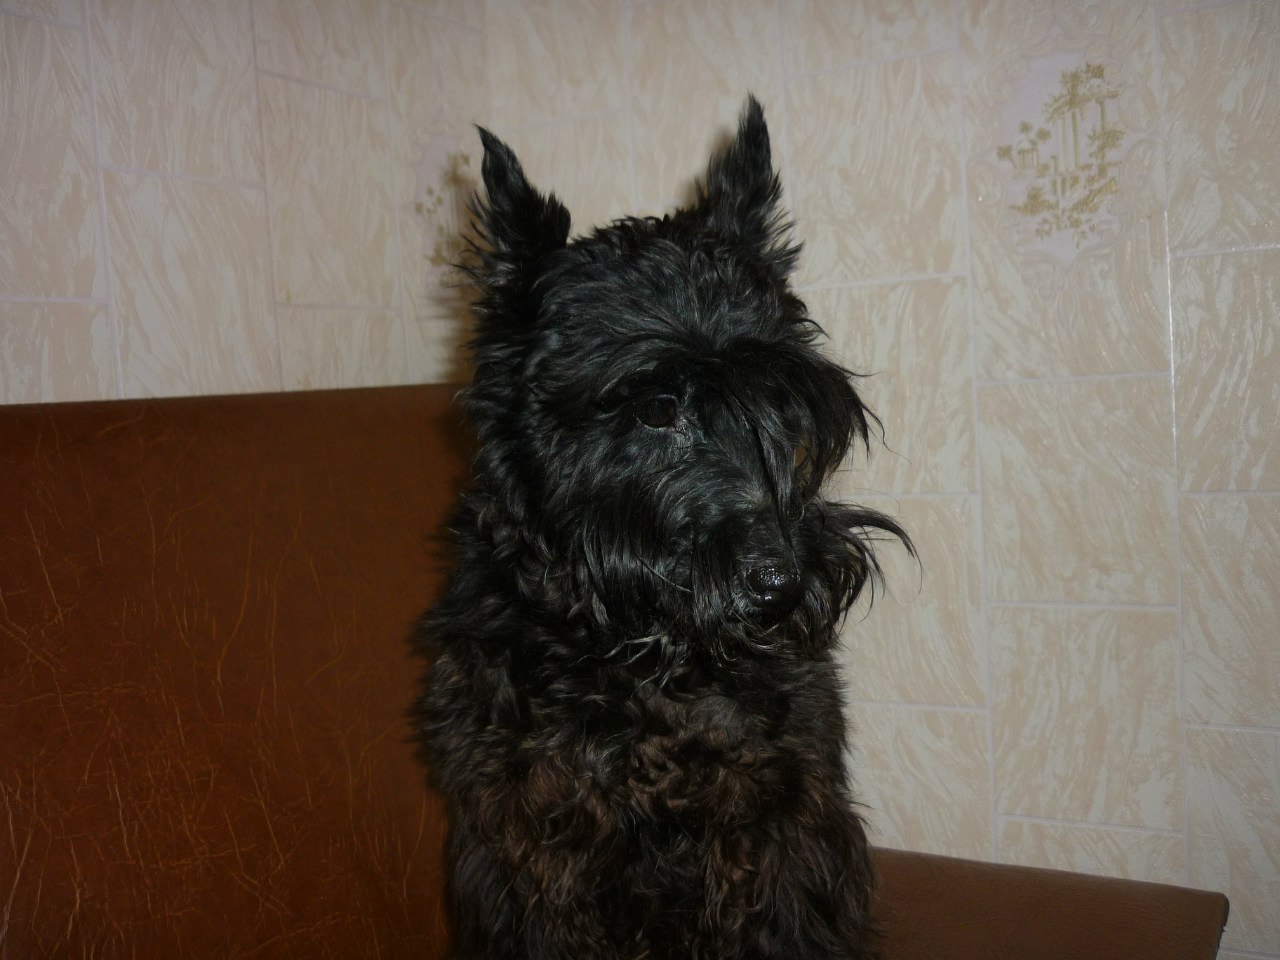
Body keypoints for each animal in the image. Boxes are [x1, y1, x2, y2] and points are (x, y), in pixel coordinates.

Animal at [415, 98, 910, 960]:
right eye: (655, 408)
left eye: (779, 402)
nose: (782, 588)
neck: (632, 665)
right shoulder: (537, 847)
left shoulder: (777, 828)